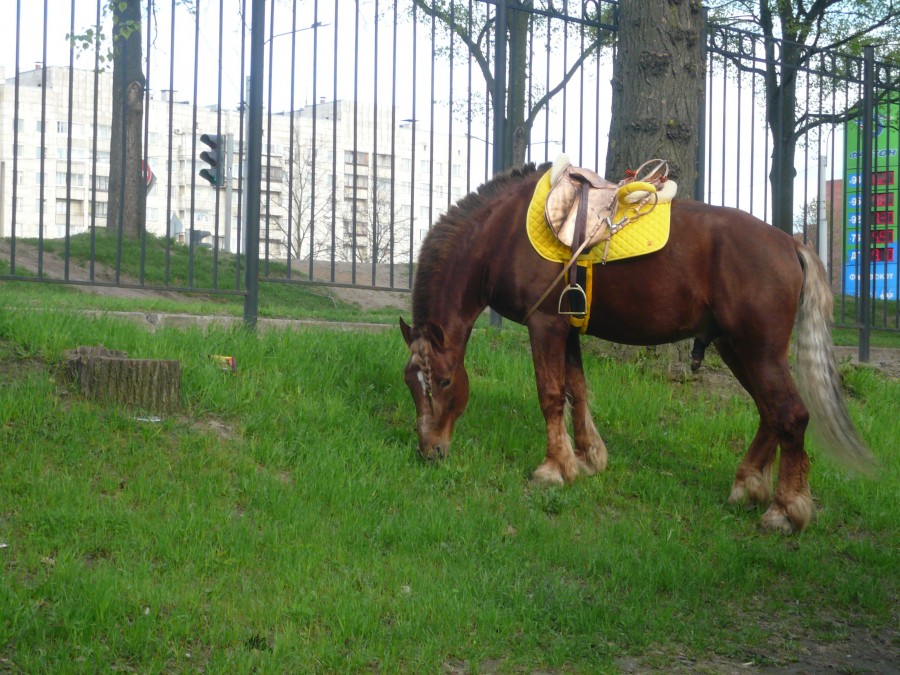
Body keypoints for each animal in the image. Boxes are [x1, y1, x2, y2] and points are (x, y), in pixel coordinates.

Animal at [400, 164, 872, 532]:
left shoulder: (545, 325)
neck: (506, 233)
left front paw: (554, 468)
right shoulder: (569, 328)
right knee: (769, 413)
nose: (430, 451)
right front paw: (586, 459)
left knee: (790, 415)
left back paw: (785, 510)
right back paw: (747, 484)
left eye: (445, 381)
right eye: (411, 383)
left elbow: (551, 394)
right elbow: (577, 389)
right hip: (735, 347)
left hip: (758, 350)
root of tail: (790, 243)